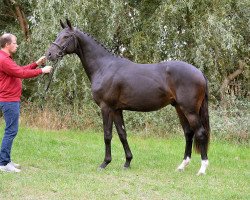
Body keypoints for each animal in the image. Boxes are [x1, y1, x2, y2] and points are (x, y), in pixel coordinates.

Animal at [46, 19, 209, 174]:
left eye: (66, 36)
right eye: (58, 35)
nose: (49, 54)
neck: (104, 67)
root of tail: (199, 73)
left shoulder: (106, 108)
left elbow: (107, 135)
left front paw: (104, 163)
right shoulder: (117, 109)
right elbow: (122, 134)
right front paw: (127, 162)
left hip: (189, 110)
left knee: (200, 133)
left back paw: (202, 169)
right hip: (179, 108)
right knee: (188, 133)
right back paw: (182, 166)